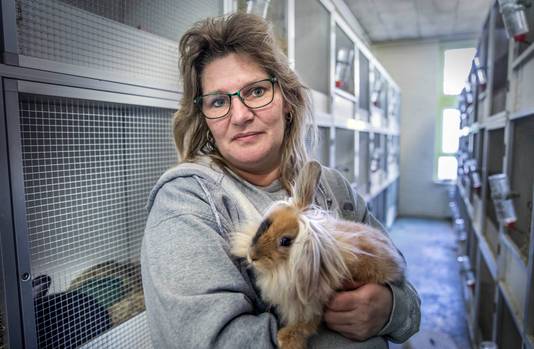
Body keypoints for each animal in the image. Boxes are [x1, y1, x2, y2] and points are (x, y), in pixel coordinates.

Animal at [230, 160, 406, 348]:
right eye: (267, 225)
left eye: (285, 241)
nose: (252, 256)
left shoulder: (313, 303)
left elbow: (306, 323)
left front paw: (286, 339)